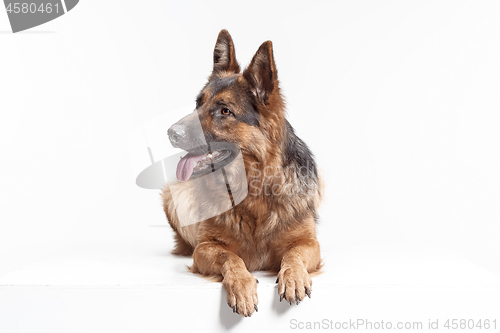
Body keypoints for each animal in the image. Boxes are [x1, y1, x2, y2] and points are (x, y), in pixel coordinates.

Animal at [162, 29, 322, 316]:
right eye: (197, 104)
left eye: (225, 111)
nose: (171, 133)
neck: (255, 190)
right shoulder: (205, 248)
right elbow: (231, 257)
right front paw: (242, 286)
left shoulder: (309, 243)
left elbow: (293, 255)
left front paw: (293, 277)